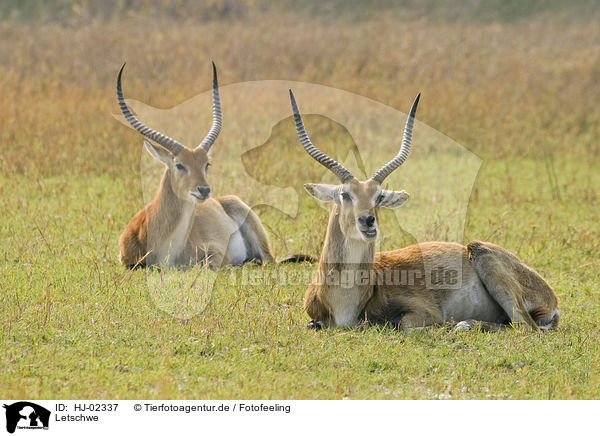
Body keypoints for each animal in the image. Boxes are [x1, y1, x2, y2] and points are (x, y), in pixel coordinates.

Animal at [288, 90, 560, 332]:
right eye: (345, 194)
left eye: (379, 196)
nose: (368, 221)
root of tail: (552, 300)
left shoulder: (424, 311)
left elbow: (406, 325)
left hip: (484, 257)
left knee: (525, 327)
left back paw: (463, 325)